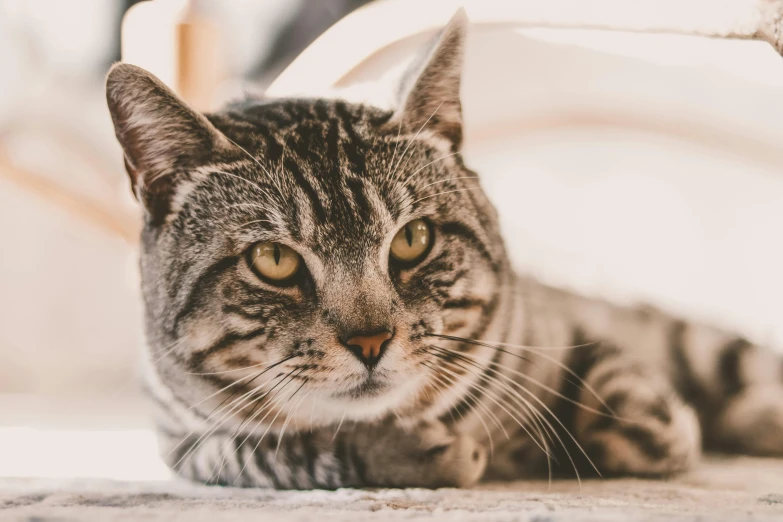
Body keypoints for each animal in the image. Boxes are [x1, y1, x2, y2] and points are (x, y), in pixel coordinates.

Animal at [105, 10, 783, 486]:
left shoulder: (568, 328)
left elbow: (630, 406)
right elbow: (280, 451)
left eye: (412, 240)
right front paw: (414, 450)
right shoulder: (188, 441)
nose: (370, 342)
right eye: (275, 261)